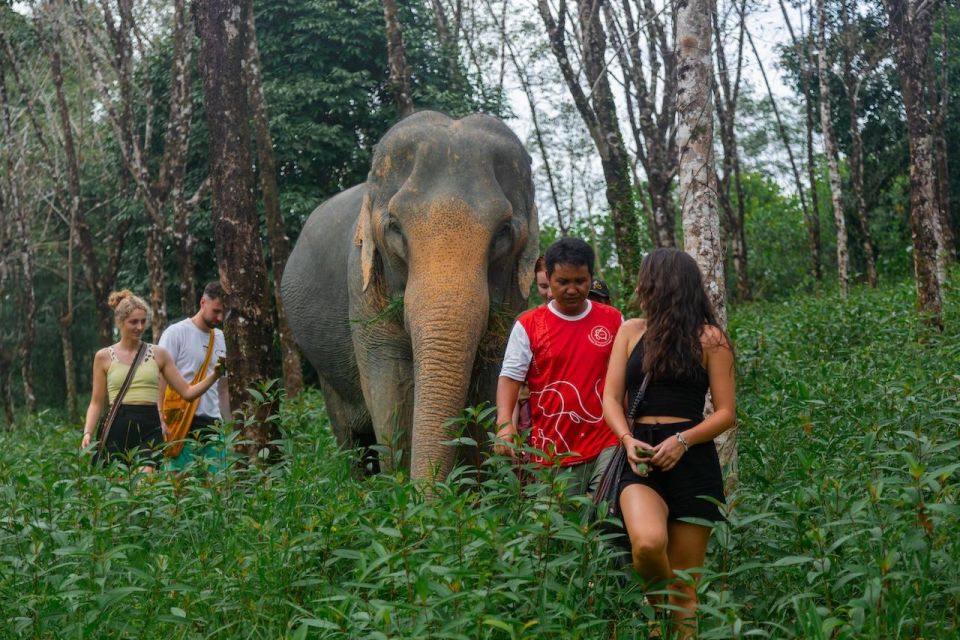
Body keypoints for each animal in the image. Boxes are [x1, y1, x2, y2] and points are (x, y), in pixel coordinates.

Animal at [284, 111, 540, 480]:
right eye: (394, 227)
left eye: (504, 232)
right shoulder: (360, 285)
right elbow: (393, 387)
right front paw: (409, 492)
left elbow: (493, 376)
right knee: (349, 437)